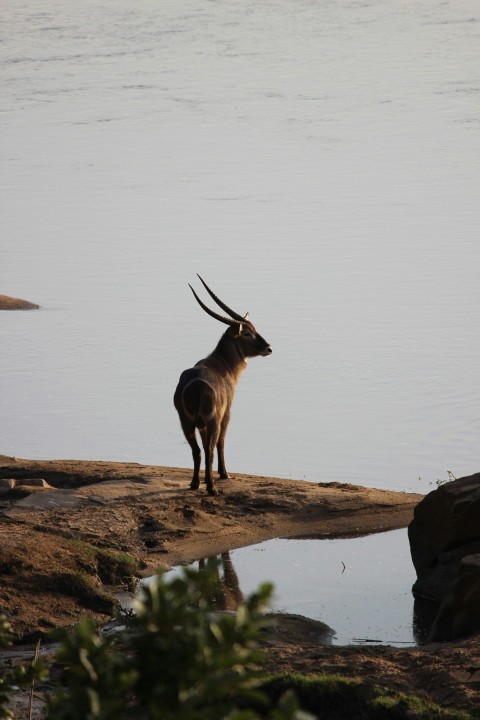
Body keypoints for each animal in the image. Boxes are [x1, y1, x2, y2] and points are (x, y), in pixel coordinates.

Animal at [174, 275, 272, 496]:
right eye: (247, 333)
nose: (268, 347)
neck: (223, 363)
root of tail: (195, 386)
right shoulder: (226, 414)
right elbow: (221, 442)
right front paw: (224, 474)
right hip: (213, 420)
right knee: (210, 449)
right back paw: (211, 488)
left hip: (186, 422)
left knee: (197, 450)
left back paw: (195, 483)